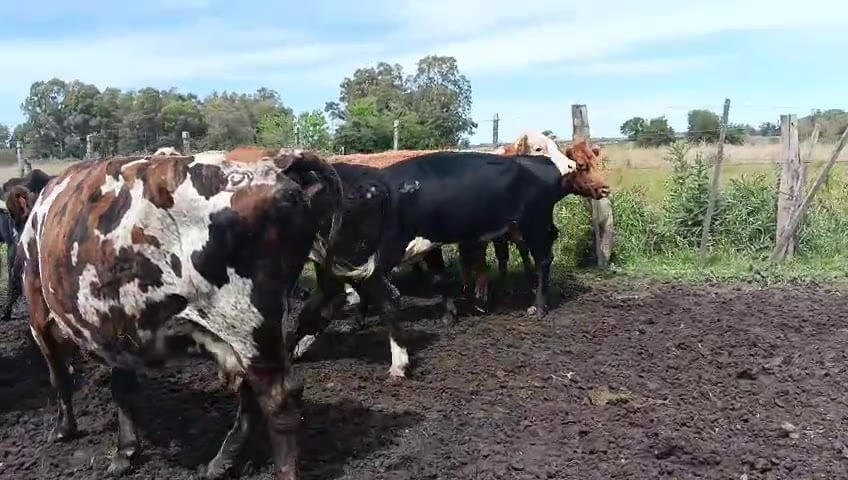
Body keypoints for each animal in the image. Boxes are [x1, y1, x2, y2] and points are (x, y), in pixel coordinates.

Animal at [20, 147, 344, 480]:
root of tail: (279, 159)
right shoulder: (116, 325)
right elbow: (122, 388)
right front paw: (126, 451)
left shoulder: (38, 312)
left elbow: (59, 377)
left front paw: (64, 429)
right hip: (254, 332)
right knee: (253, 396)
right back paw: (220, 462)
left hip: (248, 324)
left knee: (279, 399)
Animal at [288, 147, 578, 382]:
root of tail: (540, 160)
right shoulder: (340, 270)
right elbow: (312, 312)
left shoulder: (375, 263)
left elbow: (387, 304)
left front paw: (398, 364)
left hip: (534, 223)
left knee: (543, 260)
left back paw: (538, 306)